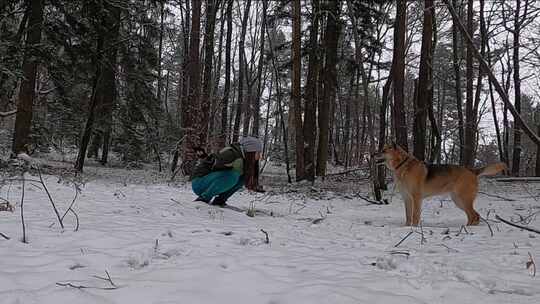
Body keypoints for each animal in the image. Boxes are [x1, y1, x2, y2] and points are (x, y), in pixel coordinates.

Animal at [374, 144, 508, 226]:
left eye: (383, 151)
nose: (372, 154)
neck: (402, 165)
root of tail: (472, 171)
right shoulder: (407, 198)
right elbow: (408, 216)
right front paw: (407, 227)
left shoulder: (416, 198)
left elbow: (415, 215)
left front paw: (414, 228)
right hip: (458, 200)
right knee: (473, 216)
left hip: (463, 199)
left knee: (475, 215)